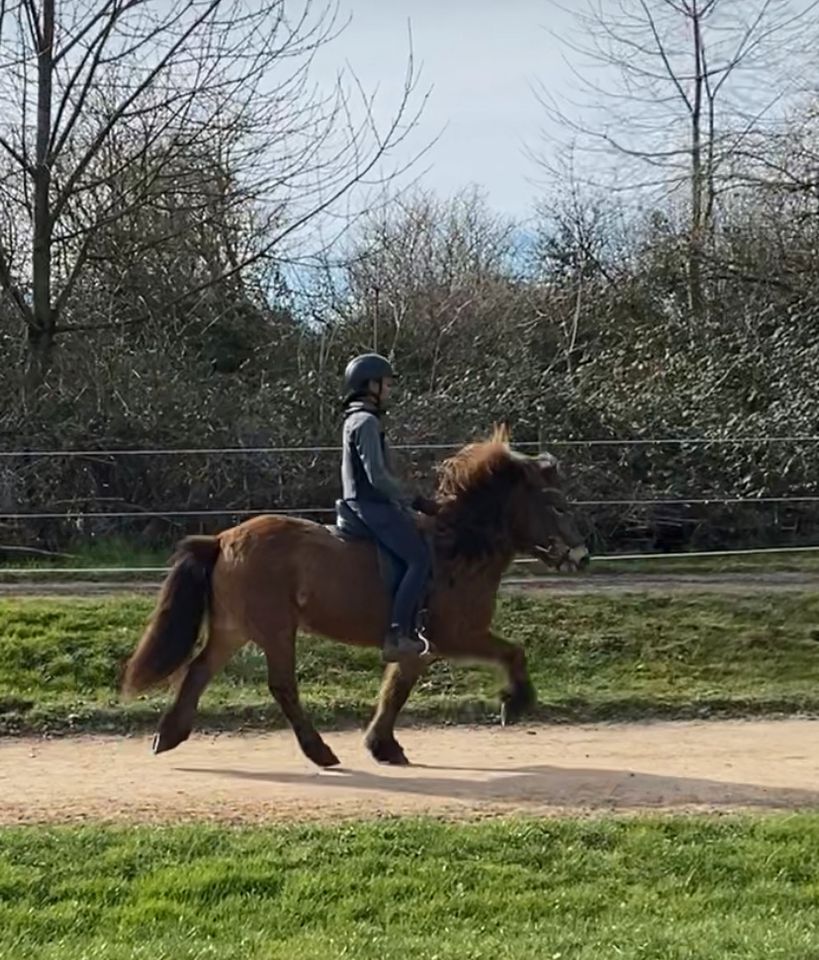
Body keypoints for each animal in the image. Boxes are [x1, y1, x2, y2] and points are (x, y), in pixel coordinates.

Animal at [121, 428, 588, 764]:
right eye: (557, 505)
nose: (582, 556)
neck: (457, 547)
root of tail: (221, 540)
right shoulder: (459, 635)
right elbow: (513, 652)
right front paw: (515, 702)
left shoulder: (421, 646)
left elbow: (396, 688)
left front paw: (383, 745)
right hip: (274, 630)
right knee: (281, 685)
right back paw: (319, 752)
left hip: (233, 628)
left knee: (199, 670)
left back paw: (169, 736)